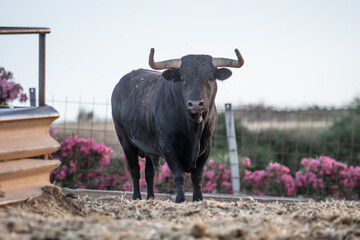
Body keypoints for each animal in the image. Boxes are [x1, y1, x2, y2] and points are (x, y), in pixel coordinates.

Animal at [111, 49, 243, 202]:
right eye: (183, 78)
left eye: (210, 78)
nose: (195, 104)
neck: (193, 126)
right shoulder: (168, 146)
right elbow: (178, 175)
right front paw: (180, 198)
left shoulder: (206, 145)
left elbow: (197, 177)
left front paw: (198, 199)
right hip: (124, 139)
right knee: (135, 170)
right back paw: (137, 197)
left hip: (149, 145)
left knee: (149, 172)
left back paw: (151, 197)